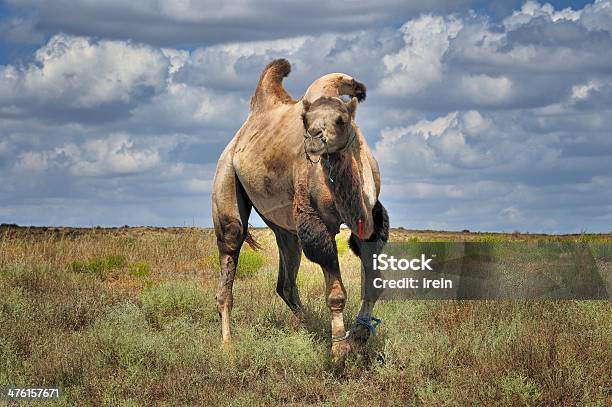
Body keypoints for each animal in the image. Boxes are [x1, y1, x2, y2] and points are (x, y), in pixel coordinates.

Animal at [213, 59, 390, 360]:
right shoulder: (315, 219)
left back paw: (312, 328)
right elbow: (335, 292)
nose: (313, 139)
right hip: (226, 176)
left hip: (285, 227)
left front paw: (360, 334)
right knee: (231, 241)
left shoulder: (370, 218)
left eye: (341, 120)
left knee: (286, 281)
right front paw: (339, 349)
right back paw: (227, 344)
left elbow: (373, 281)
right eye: (305, 121)